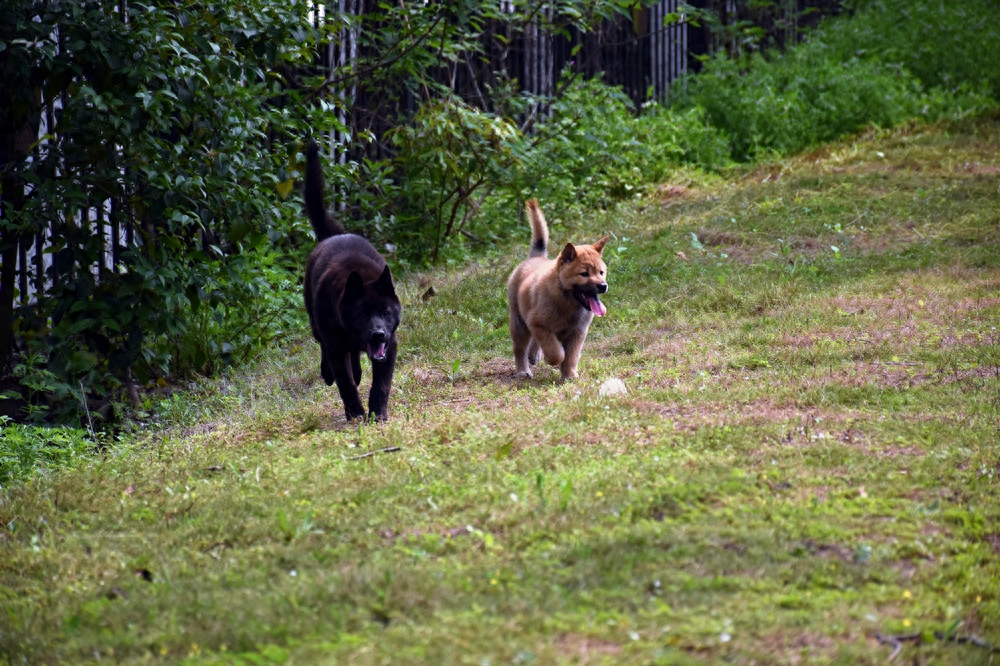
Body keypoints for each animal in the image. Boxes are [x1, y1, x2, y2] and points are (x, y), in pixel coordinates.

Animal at [302, 140, 400, 420]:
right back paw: (329, 375)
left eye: (386, 312)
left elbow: (381, 383)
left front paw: (378, 413)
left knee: (354, 357)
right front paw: (355, 413)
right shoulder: (335, 345)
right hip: (316, 324)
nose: (378, 333)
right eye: (362, 314)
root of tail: (334, 235)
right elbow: (344, 382)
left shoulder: (390, 345)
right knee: (327, 352)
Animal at [508, 198, 608, 378]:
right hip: (518, 322)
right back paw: (523, 370)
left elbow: (571, 356)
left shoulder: (578, 332)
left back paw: (534, 356)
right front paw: (552, 360)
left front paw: (569, 375)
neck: (569, 304)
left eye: (601, 272)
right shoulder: (539, 324)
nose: (603, 286)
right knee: (519, 349)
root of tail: (536, 257)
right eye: (584, 274)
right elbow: (557, 352)